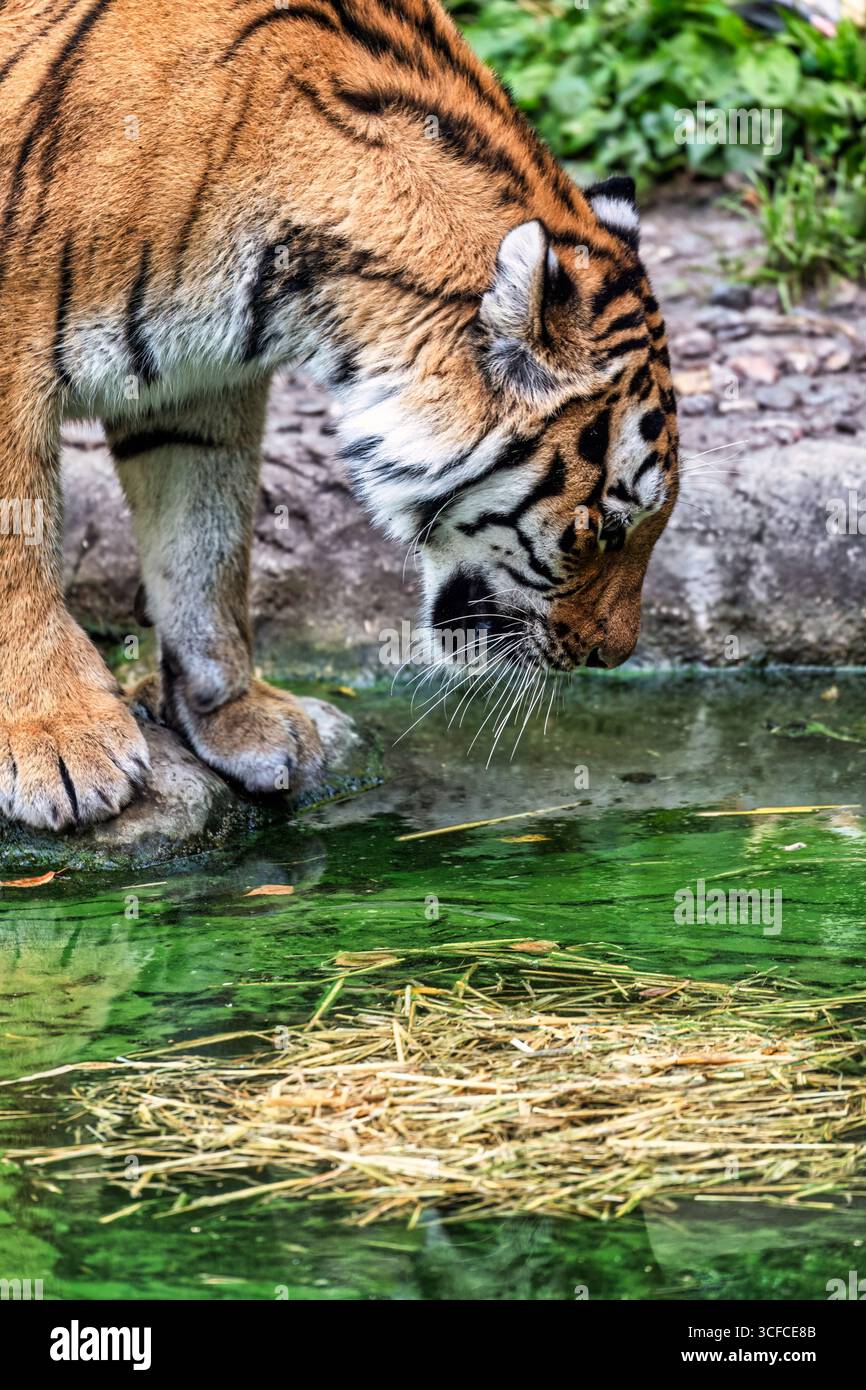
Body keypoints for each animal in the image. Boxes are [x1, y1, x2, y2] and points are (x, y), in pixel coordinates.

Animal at [0, 0, 679, 833]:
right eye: (604, 531)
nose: (612, 656)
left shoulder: (191, 384)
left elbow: (206, 544)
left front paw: (236, 714)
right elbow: (18, 548)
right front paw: (62, 740)